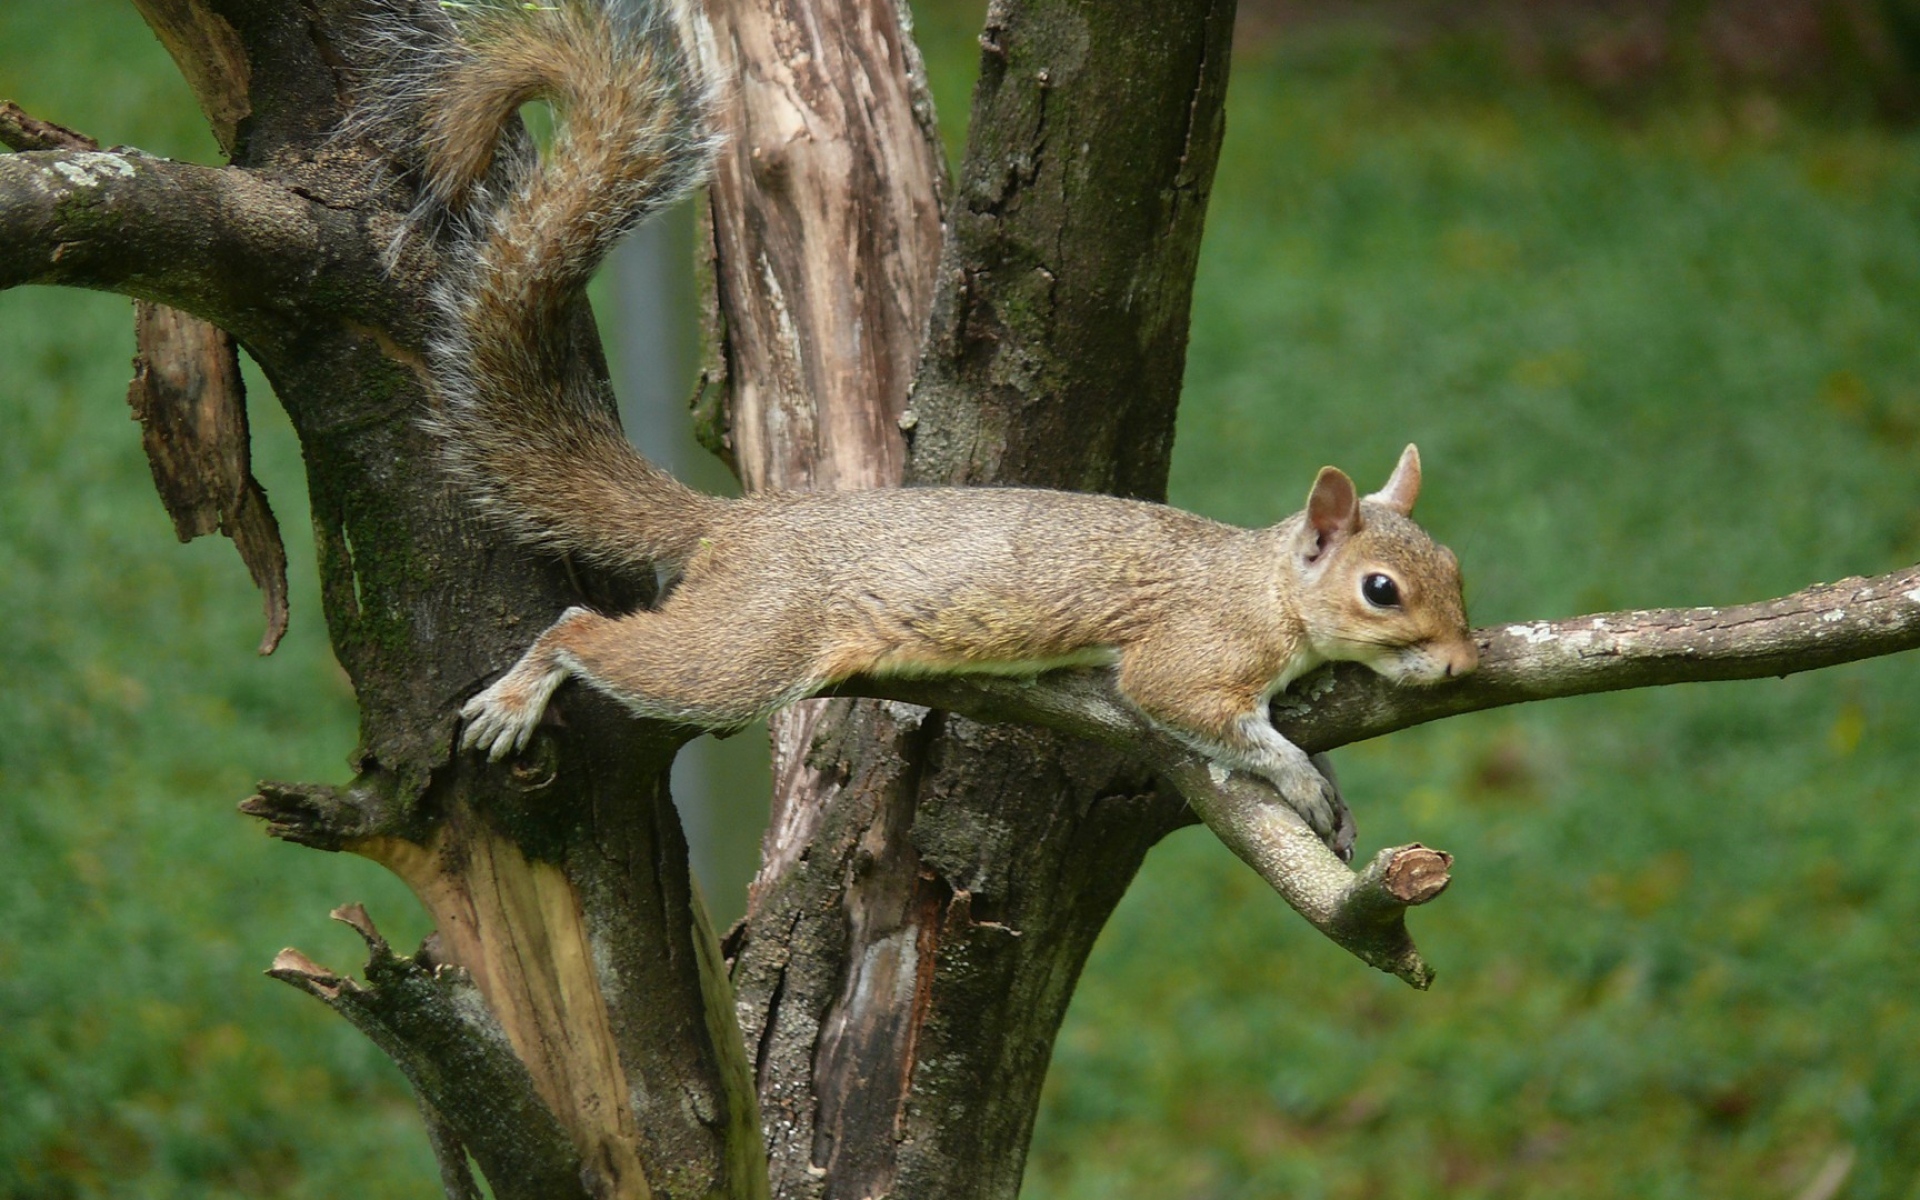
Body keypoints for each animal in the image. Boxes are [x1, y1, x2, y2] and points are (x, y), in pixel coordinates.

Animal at [362, 0, 1482, 848]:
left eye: (1455, 567)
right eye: (1381, 590)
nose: (1466, 664)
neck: (1261, 581)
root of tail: (740, 525)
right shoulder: (1191, 651)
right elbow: (1199, 713)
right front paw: (1298, 777)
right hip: (750, 645)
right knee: (593, 633)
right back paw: (521, 691)